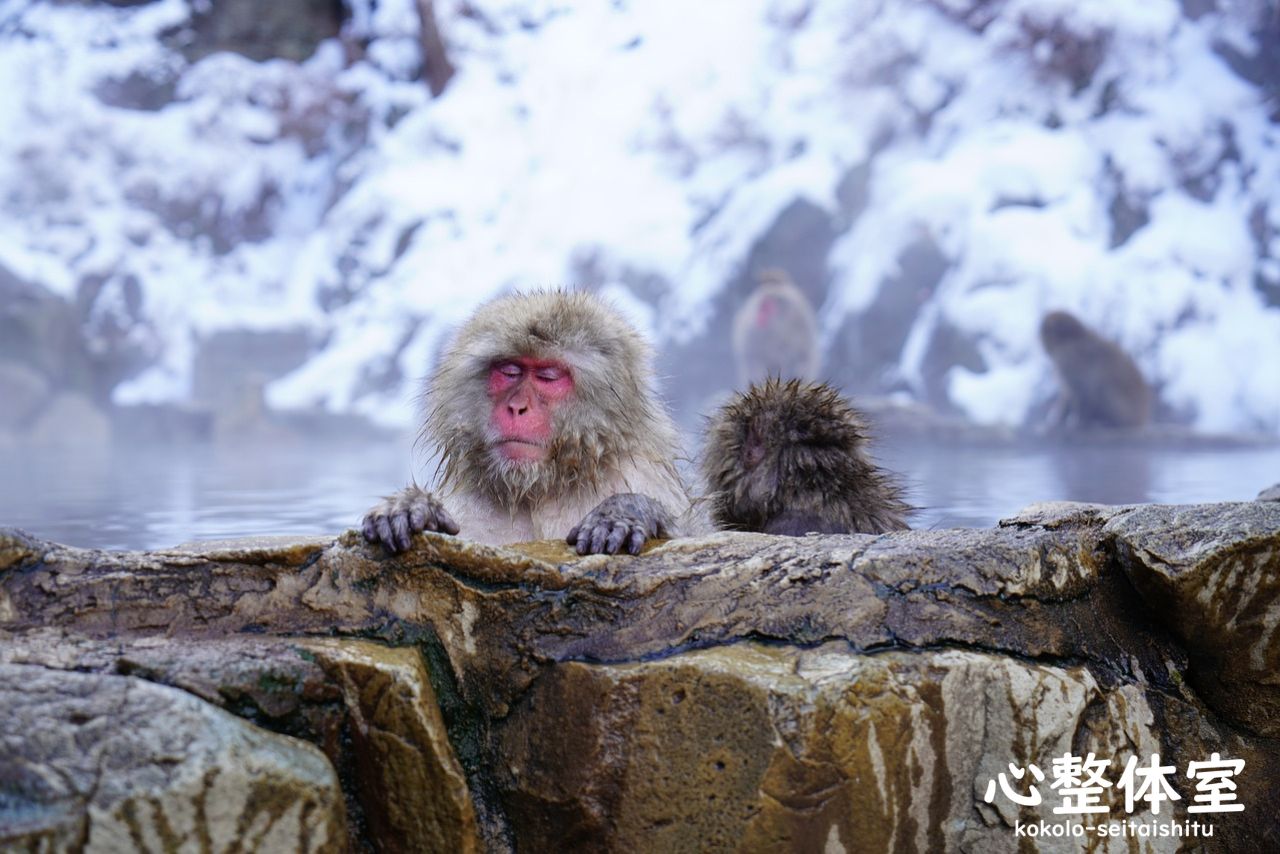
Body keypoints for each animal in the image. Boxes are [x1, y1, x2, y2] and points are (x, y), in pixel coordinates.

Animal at [363, 290, 691, 558]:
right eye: (510, 370)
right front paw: (412, 507)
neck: (540, 489)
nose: (517, 407)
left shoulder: (642, 475)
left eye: (548, 375)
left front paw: (625, 512)